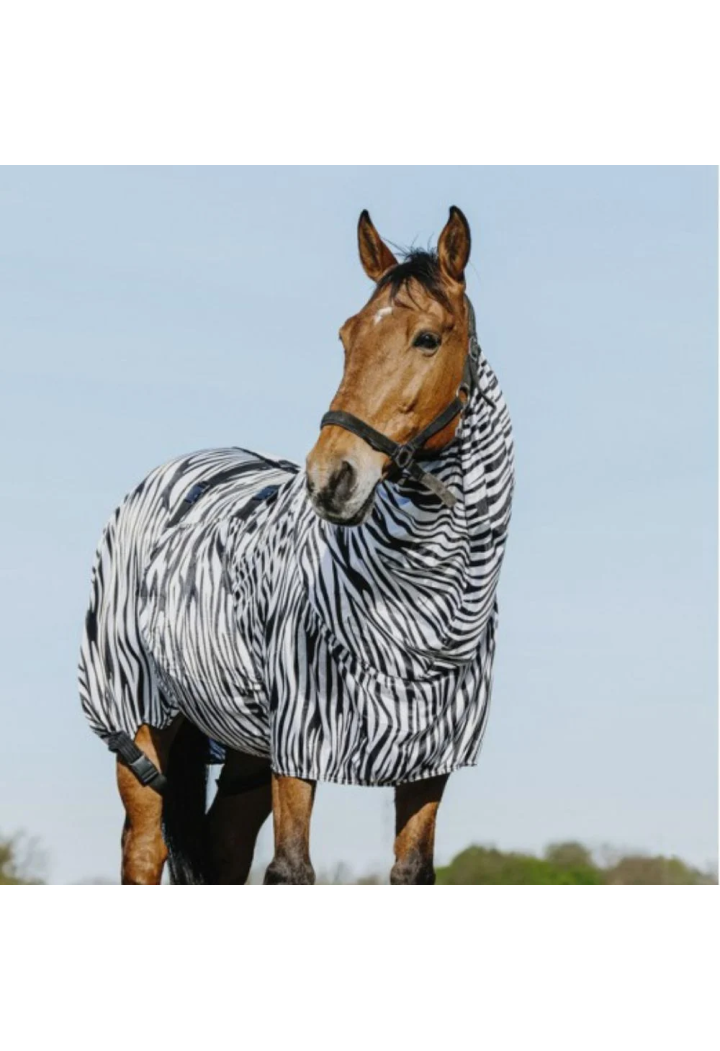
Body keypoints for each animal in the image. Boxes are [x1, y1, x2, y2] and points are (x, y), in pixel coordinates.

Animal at [78, 206, 514, 884]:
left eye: (427, 338)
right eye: (346, 336)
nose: (330, 477)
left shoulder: (430, 762)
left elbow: (411, 869)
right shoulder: (298, 748)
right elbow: (290, 868)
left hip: (243, 748)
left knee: (224, 848)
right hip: (139, 727)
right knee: (145, 850)